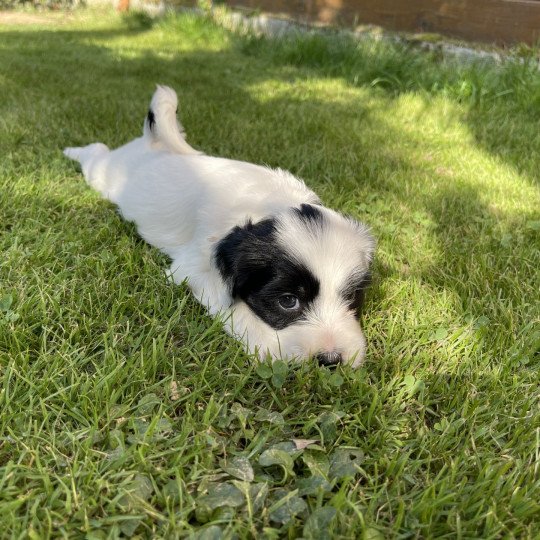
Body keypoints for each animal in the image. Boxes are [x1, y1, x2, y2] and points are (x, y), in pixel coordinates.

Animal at [64, 85, 376, 368]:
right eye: (288, 301)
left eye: (352, 297)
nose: (331, 360)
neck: (270, 204)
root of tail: (154, 143)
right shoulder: (193, 270)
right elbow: (234, 310)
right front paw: (269, 347)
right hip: (105, 173)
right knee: (96, 153)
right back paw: (71, 150)